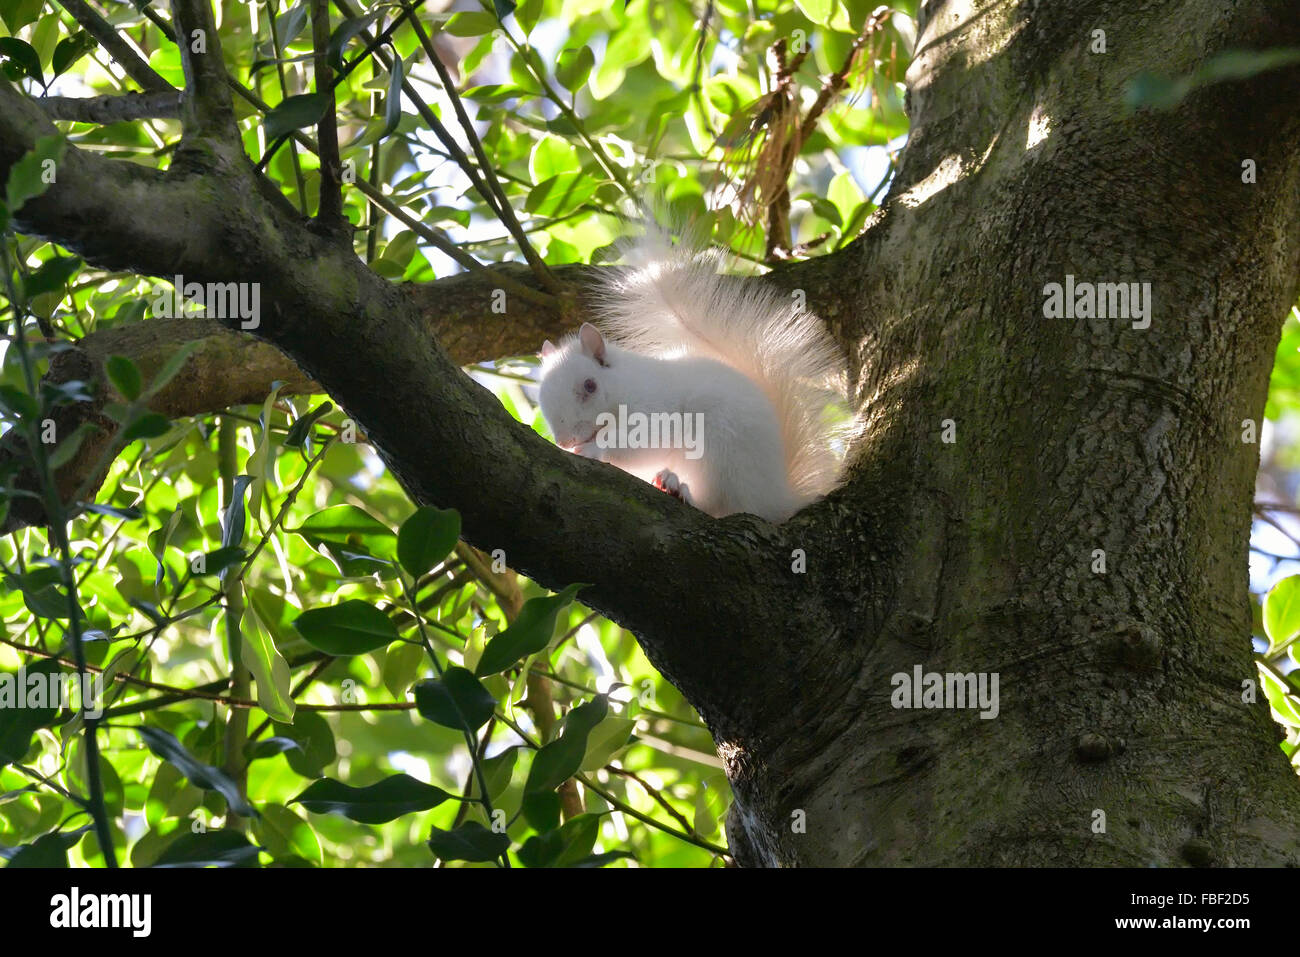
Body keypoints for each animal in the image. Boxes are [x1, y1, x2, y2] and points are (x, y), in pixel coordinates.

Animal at [537, 225, 848, 523]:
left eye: (590, 386)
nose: (564, 441)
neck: (624, 388)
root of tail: (775, 498)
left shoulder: (654, 410)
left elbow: (639, 441)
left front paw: (593, 449)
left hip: (721, 451)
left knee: (720, 503)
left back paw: (680, 489)